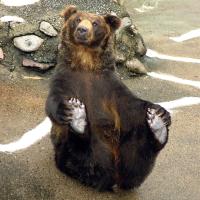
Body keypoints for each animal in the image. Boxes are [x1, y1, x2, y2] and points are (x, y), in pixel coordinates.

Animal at [46, 5, 171, 191]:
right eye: (77, 19)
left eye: (95, 23)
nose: (82, 30)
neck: (86, 63)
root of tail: (113, 177)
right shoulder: (66, 78)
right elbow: (54, 100)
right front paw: (68, 108)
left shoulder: (108, 86)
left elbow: (131, 105)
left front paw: (161, 112)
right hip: (74, 154)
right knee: (78, 154)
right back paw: (78, 119)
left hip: (124, 150)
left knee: (138, 151)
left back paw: (158, 127)